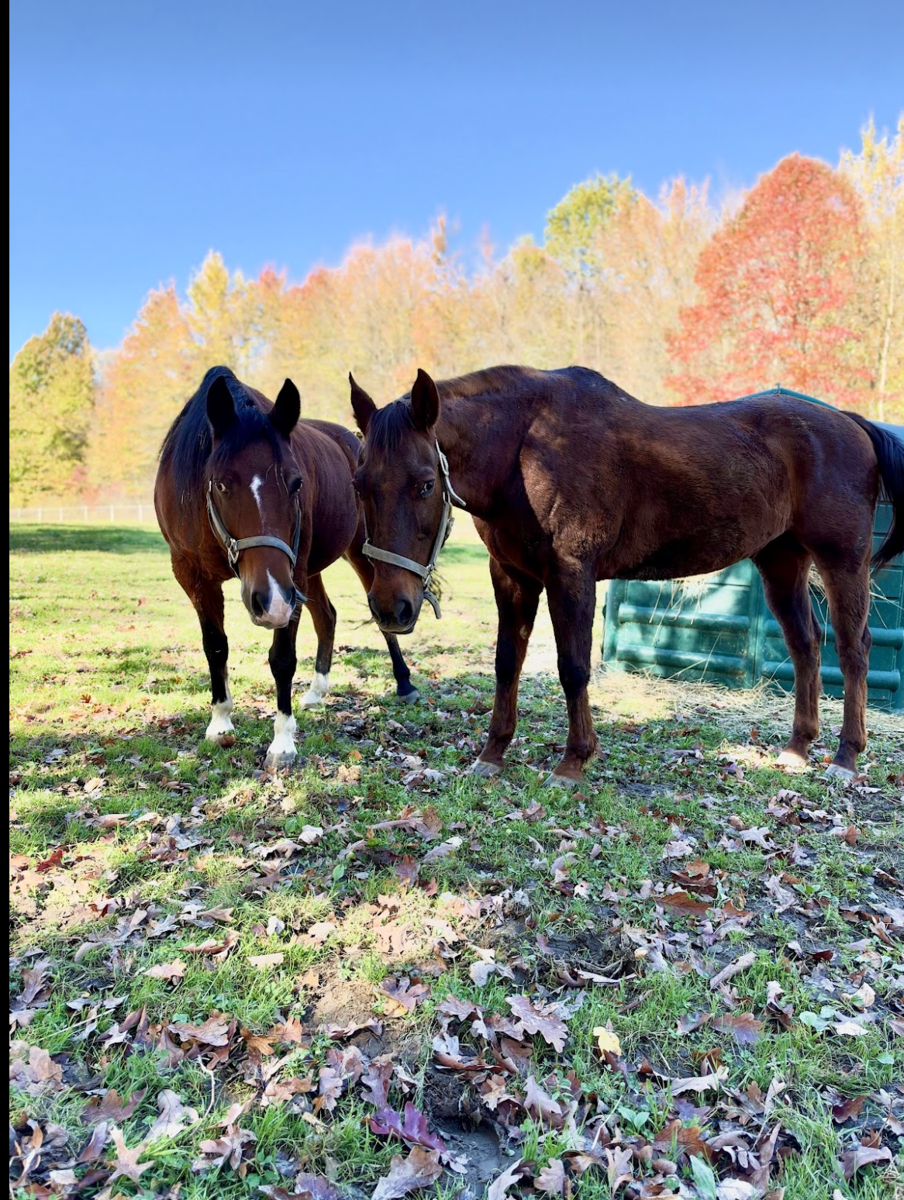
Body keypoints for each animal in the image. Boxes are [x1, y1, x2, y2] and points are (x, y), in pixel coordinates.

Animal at [154, 366, 418, 769]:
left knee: (384, 618)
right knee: (326, 616)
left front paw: (282, 742)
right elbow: (215, 646)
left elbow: (282, 659)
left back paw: (403, 682)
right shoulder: (193, 575)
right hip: (309, 571)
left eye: (295, 483)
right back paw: (317, 691)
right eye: (220, 484)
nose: (271, 601)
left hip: (356, 556)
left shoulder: (288, 579)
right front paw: (220, 721)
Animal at [348, 365, 904, 786]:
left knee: (852, 649)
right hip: (782, 564)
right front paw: (493, 754)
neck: (528, 447)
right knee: (806, 645)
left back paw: (845, 757)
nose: (391, 607)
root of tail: (851, 423)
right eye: (358, 483)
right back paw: (797, 748)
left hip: (842, 562)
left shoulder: (571, 575)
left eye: (425, 484)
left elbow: (573, 668)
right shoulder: (512, 577)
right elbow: (507, 663)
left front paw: (574, 761)